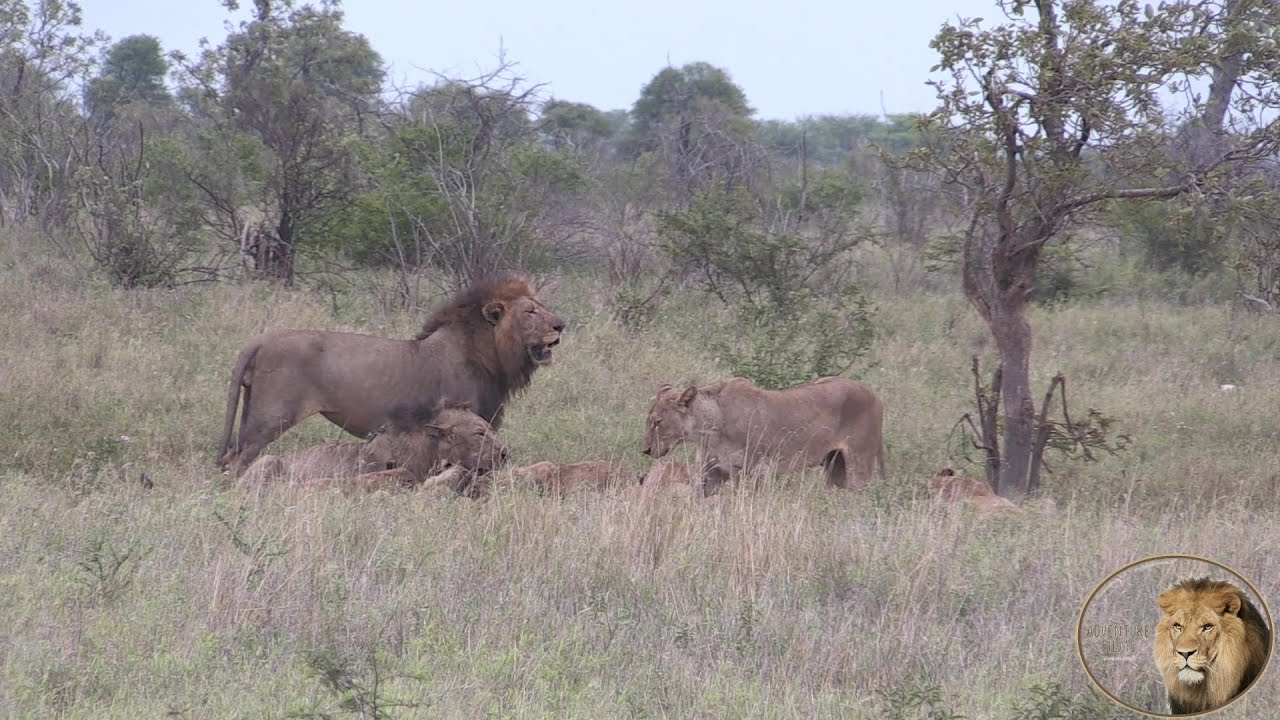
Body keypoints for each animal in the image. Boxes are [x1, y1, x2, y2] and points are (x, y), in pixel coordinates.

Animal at [219, 275, 563, 474]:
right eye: (530, 311)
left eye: (541, 306)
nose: (562, 324)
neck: (490, 356)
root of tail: (260, 340)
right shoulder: (459, 420)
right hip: (269, 418)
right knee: (238, 460)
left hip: (252, 411)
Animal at [642, 376, 884, 493]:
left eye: (657, 422)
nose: (645, 450)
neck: (709, 430)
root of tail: (875, 395)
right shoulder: (711, 474)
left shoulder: (753, 472)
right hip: (835, 466)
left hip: (858, 466)